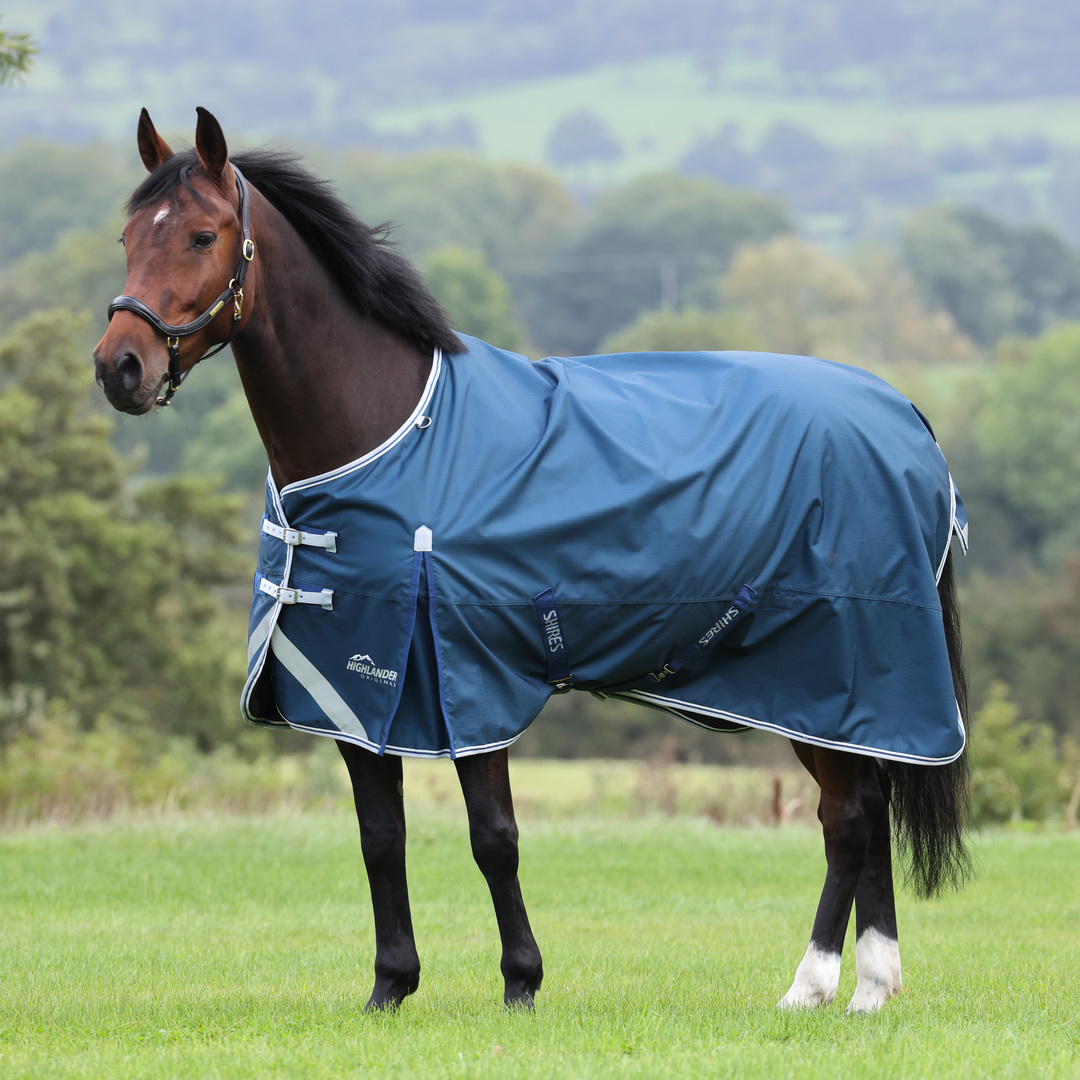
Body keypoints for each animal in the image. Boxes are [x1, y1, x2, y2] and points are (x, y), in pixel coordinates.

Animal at [94, 107, 970, 1015]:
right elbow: (381, 837)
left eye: (201, 235)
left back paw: (815, 984)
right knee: (864, 806)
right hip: (825, 699)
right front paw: (390, 986)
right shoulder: (351, 694)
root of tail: (906, 416)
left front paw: (521, 981)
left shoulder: (469, 675)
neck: (386, 435)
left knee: (850, 818)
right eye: (128, 235)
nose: (119, 366)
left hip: (833, 677)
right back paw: (871, 986)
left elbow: (494, 837)